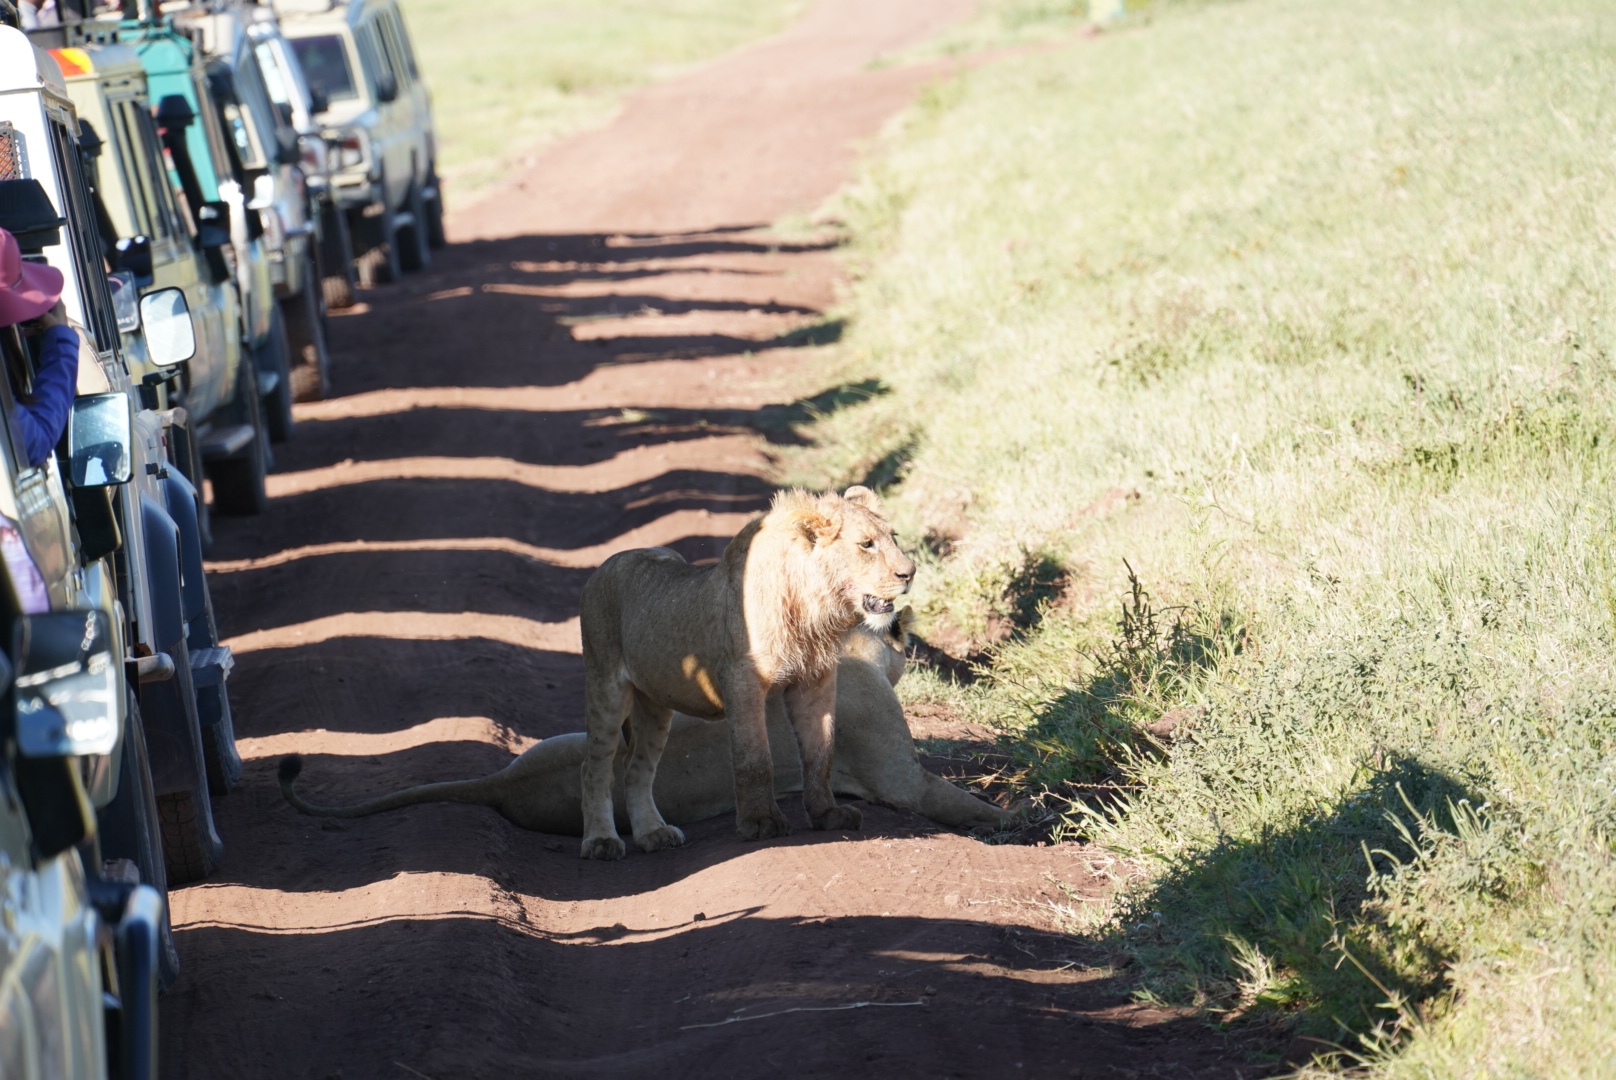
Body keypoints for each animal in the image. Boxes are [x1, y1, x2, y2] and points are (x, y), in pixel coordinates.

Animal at [575, 485, 917, 853]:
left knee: (636, 767)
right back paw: (601, 841)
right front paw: (761, 822)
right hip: (605, 685)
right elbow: (754, 758)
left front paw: (827, 814)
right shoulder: (742, 680)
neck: (812, 609)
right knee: (594, 768)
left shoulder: (815, 680)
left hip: (655, 704)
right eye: (866, 544)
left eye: (894, 538)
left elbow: (821, 752)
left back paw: (654, 833)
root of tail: (603, 567)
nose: (910, 573)